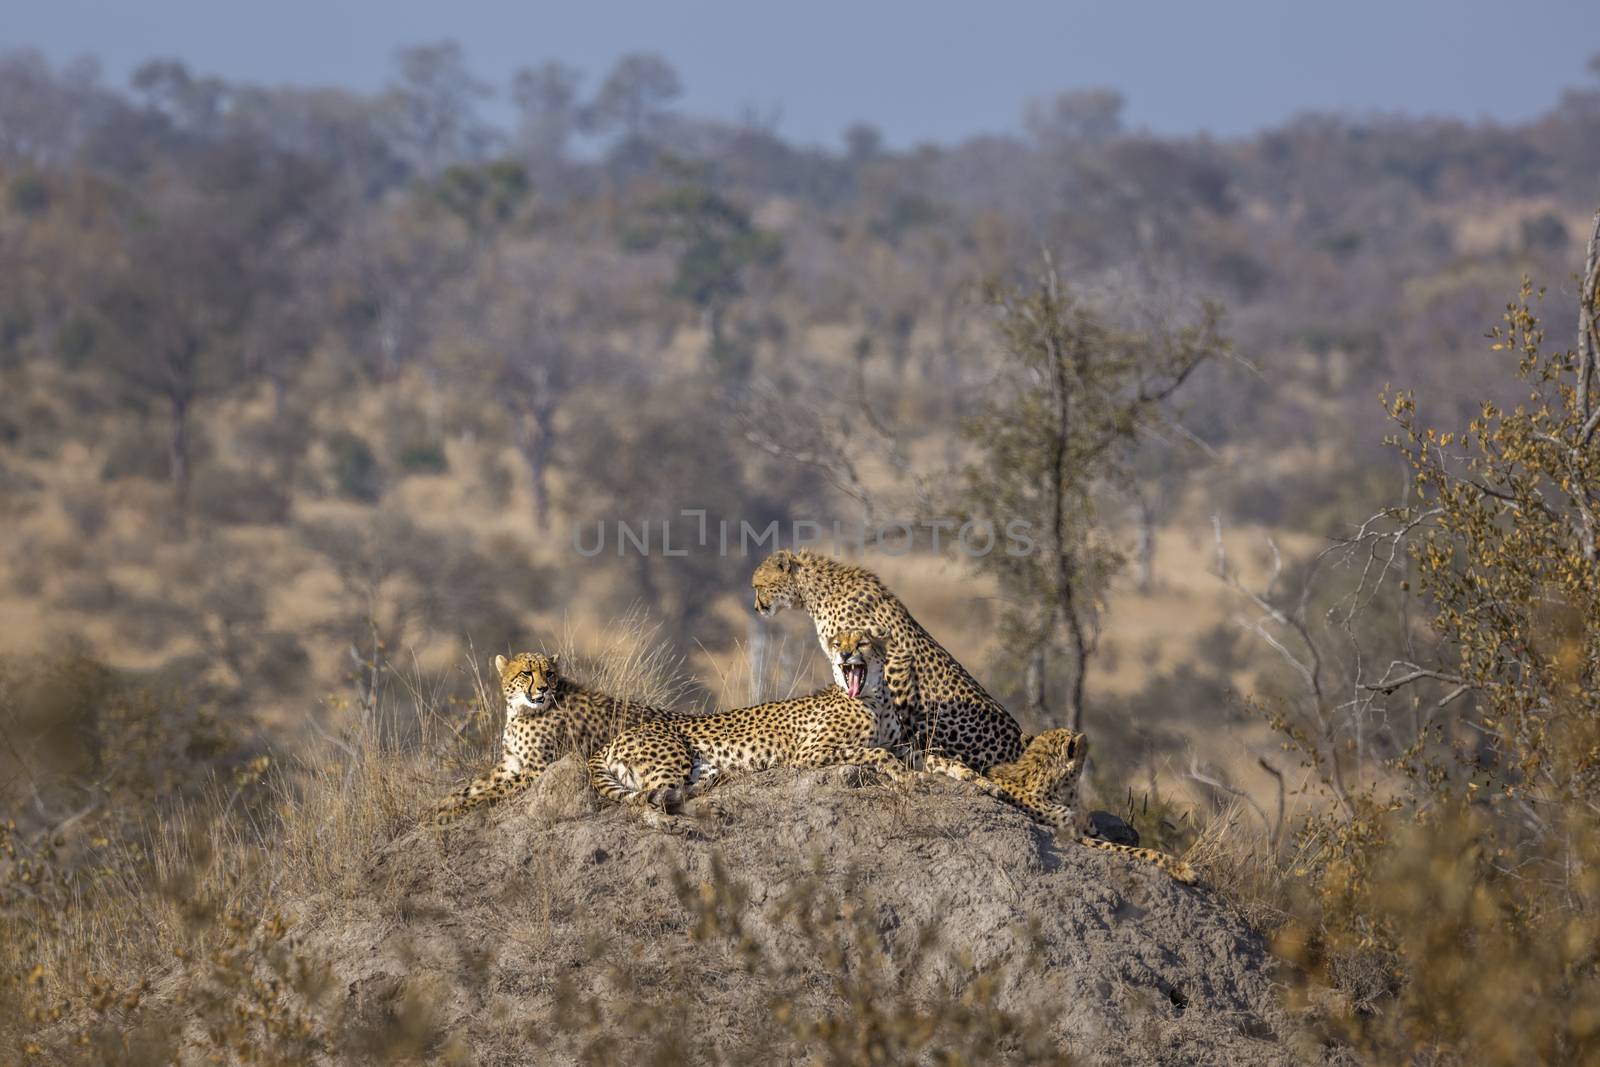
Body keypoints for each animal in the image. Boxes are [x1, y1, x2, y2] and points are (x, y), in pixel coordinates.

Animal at [438, 652, 681, 825]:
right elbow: (473, 786)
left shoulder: (536, 769)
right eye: (527, 673)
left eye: (549, 673)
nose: (543, 689)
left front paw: (453, 812)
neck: (521, 710)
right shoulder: (509, 764)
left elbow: (488, 792)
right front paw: (440, 806)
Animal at [592, 630, 915, 831]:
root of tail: (613, 739)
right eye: (837, 643)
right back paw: (671, 824)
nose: (845, 655)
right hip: (673, 759)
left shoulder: (900, 743)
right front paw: (905, 775)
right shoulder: (809, 753)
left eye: (861, 643)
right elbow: (876, 752)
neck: (876, 697)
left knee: (670, 795)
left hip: (705, 770)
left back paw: (710, 811)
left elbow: (909, 752)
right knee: (640, 803)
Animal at [928, 729, 1203, 889]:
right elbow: (1137, 851)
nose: (1087, 738)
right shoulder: (1079, 837)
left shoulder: (1091, 831)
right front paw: (1183, 870)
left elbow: (1124, 843)